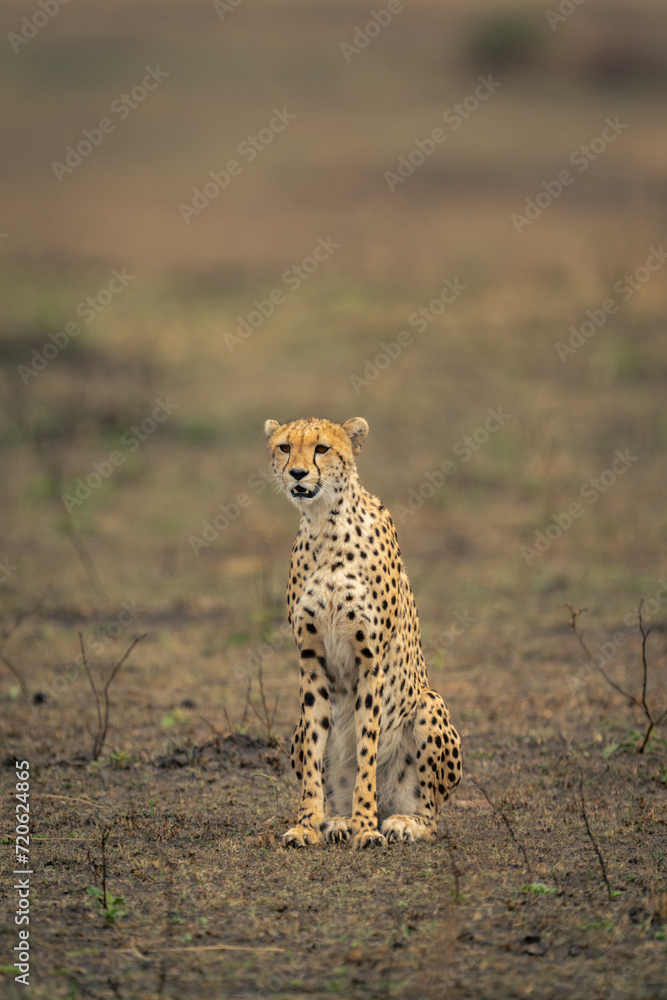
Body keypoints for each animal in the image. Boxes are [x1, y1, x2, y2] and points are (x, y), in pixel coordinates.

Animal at [264, 416, 462, 849]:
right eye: (285, 447)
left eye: (321, 448)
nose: (297, 473)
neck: (324, 524)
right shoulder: (311, 661)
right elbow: (314, 755)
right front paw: (308, 824)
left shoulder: (371, 663)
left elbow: (367, 751)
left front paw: (367, 827)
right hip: (296, 725)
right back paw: (337, 820)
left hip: (429, 703)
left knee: (430, 812)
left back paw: (402, 823)